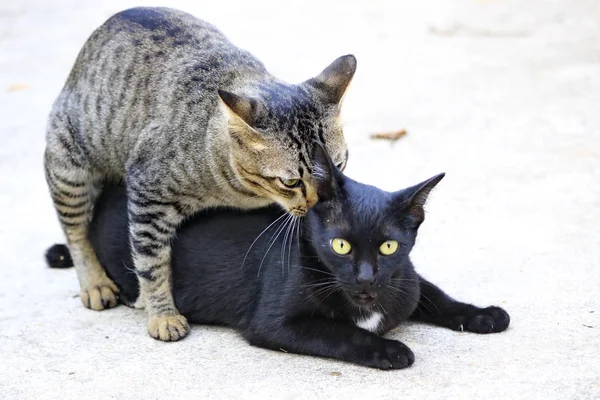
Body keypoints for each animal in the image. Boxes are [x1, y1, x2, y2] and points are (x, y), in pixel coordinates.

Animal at [45, 145, 510, 370]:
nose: (364, 277)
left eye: (388, 247)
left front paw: (483, 314)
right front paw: (389, 350)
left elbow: (437, 297)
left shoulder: (404, 279)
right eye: (341, 245)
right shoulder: (274, 323)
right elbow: (343, 333)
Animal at [47, 7, 356, 340]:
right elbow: (151, 264)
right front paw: (162, 314)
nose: (320, 202)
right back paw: (95, 283)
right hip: (68, 167)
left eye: (338, 166)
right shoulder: (147, 194)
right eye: (291, 182)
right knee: (76, 232)